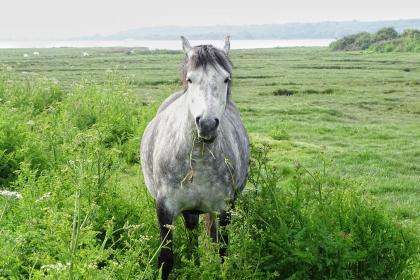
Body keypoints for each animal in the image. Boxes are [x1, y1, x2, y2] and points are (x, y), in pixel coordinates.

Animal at [141, 36, 249, 278]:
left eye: (226, 79)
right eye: (190, 79)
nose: (207, 124)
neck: (199, 160)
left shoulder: (225, 209)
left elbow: (222, 253)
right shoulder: (165, 209)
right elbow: (166, 260)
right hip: (189, 210)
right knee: (192, 237)